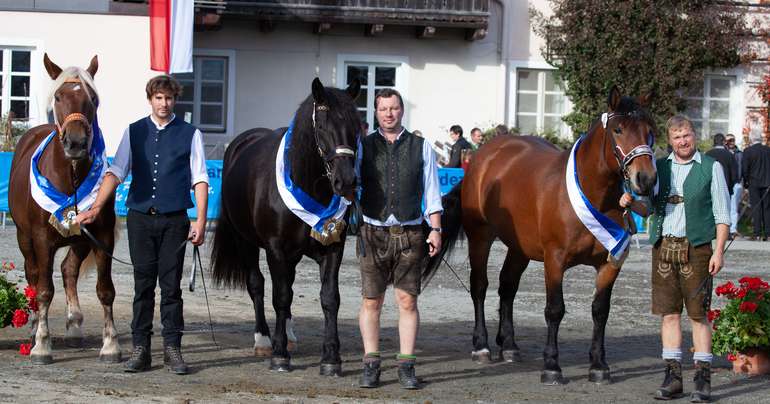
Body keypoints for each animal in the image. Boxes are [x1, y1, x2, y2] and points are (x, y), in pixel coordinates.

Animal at [9, 52, 120, 362]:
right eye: (58, 97)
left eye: (92, 98)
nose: (76, 143)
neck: (70, 176)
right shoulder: (41, 239)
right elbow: (45, 290)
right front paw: (41, 344)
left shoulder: (101, 236)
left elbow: (106, 290)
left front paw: (111, 344)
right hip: (25, 239)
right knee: (34, 277)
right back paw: (35, 326)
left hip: (79, 238)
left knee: (69, 269)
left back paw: (74, 324)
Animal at [210, 76, 360, 376]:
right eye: (322, 127)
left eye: (356, 128)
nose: (347, 182)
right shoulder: (275, 249)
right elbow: (279, 296)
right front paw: (279, 355)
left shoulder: (332, 248)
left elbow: (329, 298)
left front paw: (331, 358)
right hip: (246, 243)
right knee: (258, 285)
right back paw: (264, 340)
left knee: (288, 285)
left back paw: (289, 335)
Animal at [426, 87, 656, 386]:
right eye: (618, 130)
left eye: (649, 131)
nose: (646, 179)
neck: (591, 193)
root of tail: (483, 156)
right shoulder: (554, 260)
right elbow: (555, 309)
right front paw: (551, 367)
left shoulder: (610, 263)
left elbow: (600, 310)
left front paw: (598, 365)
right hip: (480, 237)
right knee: (480, 286)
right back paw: (482, 346)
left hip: (519, 247)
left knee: (507, 287)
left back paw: (509, 345)